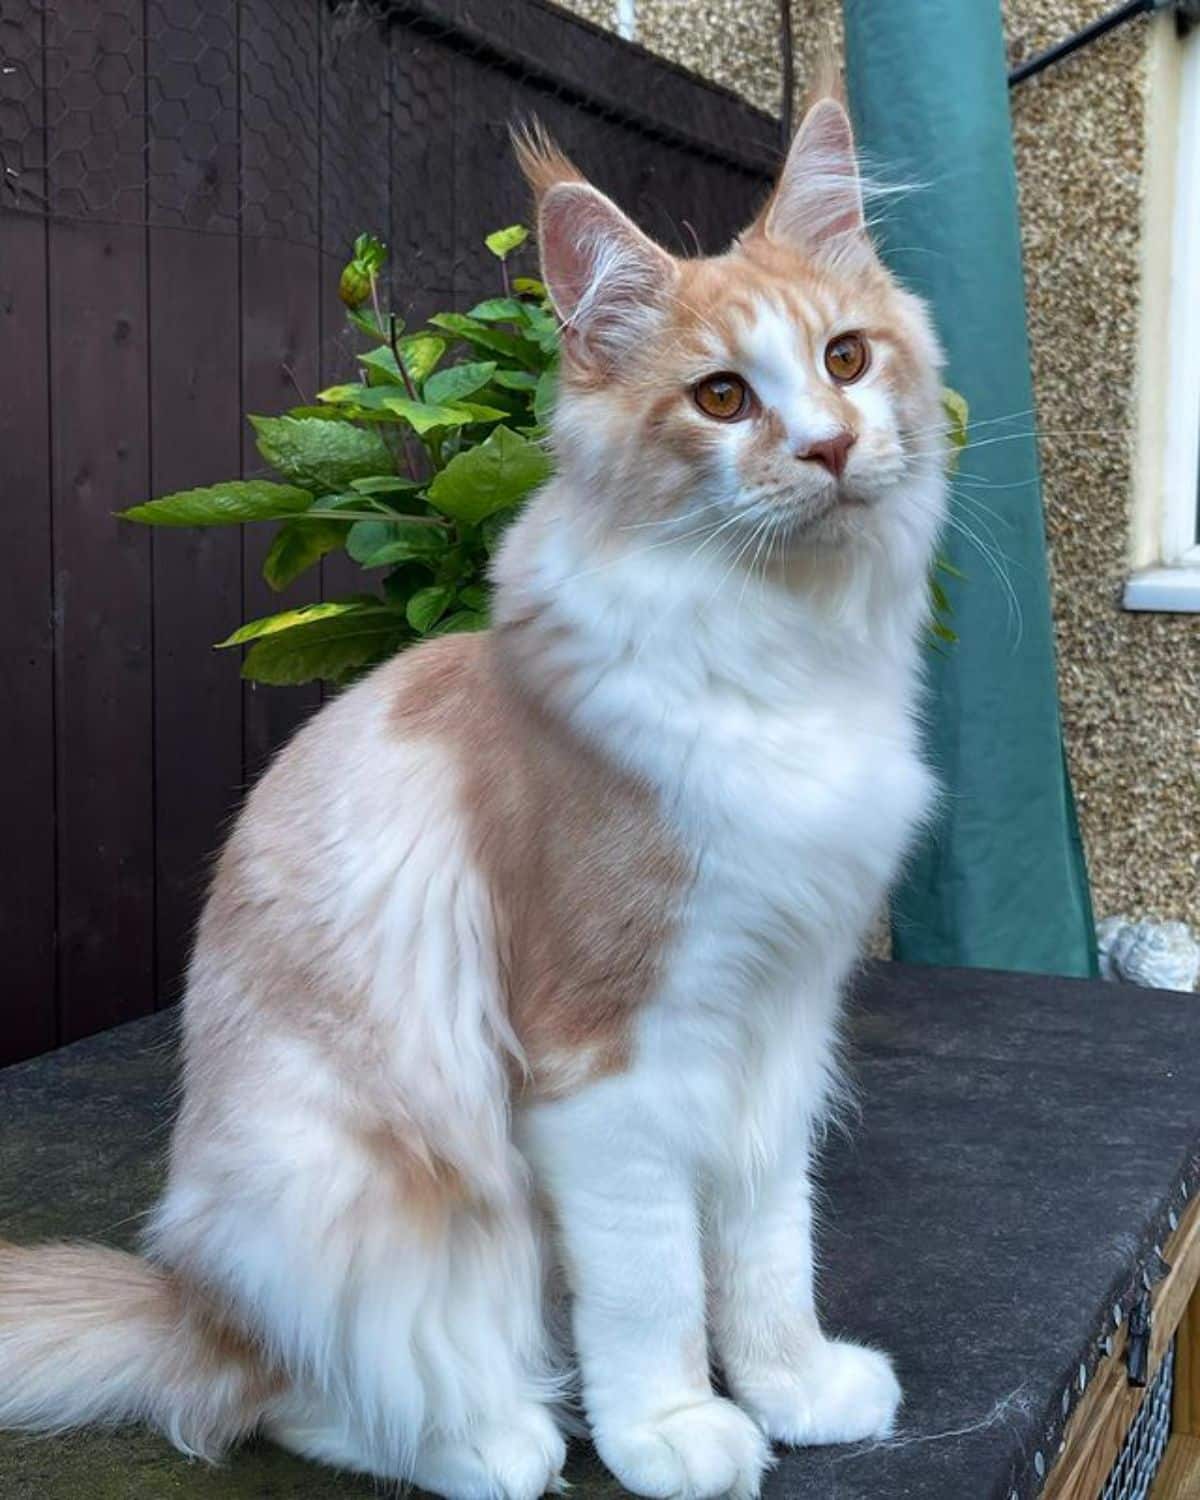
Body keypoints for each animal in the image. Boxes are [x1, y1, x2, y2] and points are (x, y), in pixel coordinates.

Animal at [0, 90, 948, 1500]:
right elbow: (653, 1282)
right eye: (723, 397)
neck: (781, 654)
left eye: (845, 360)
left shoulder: (779, 1027)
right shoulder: (606, 1055)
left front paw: (793, 1388)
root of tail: (192, 1301)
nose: (830, 449)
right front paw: (672, 1429)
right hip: (357, 1202)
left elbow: (769, 1246)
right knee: (289, 1399)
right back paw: (493, 1439)